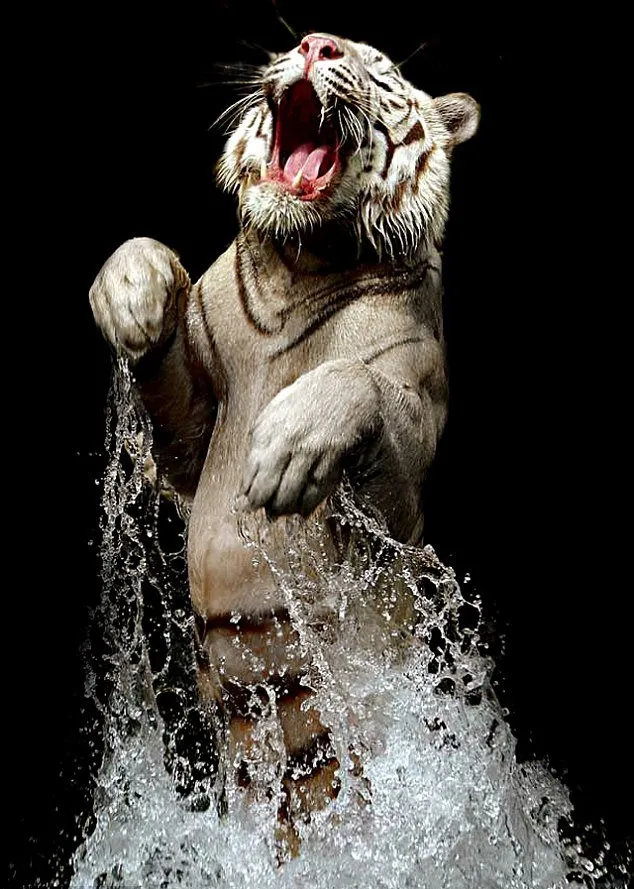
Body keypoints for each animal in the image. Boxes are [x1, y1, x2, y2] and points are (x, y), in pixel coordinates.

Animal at [89, 32, 479, 858]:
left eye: (378, 68)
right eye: (311, 41)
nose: (316, 44)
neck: (301, 266)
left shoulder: (395, 489)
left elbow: (355, 384)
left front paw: (286, 449)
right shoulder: (190, 438)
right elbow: (146, 270)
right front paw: (132, 294)